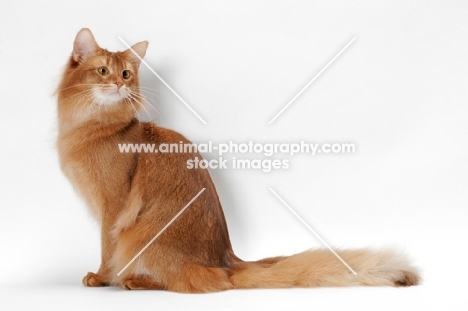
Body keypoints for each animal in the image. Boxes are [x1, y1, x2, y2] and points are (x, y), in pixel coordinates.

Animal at [57, 28, 420, 292]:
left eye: (126, 74)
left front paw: (103, 278)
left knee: (195, 282)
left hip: (140, 235)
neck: (95, 126)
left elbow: (108, 249)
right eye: (103, 71)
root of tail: (226, 261)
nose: (118, 85)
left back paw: (135, 280)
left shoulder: (114, 208)